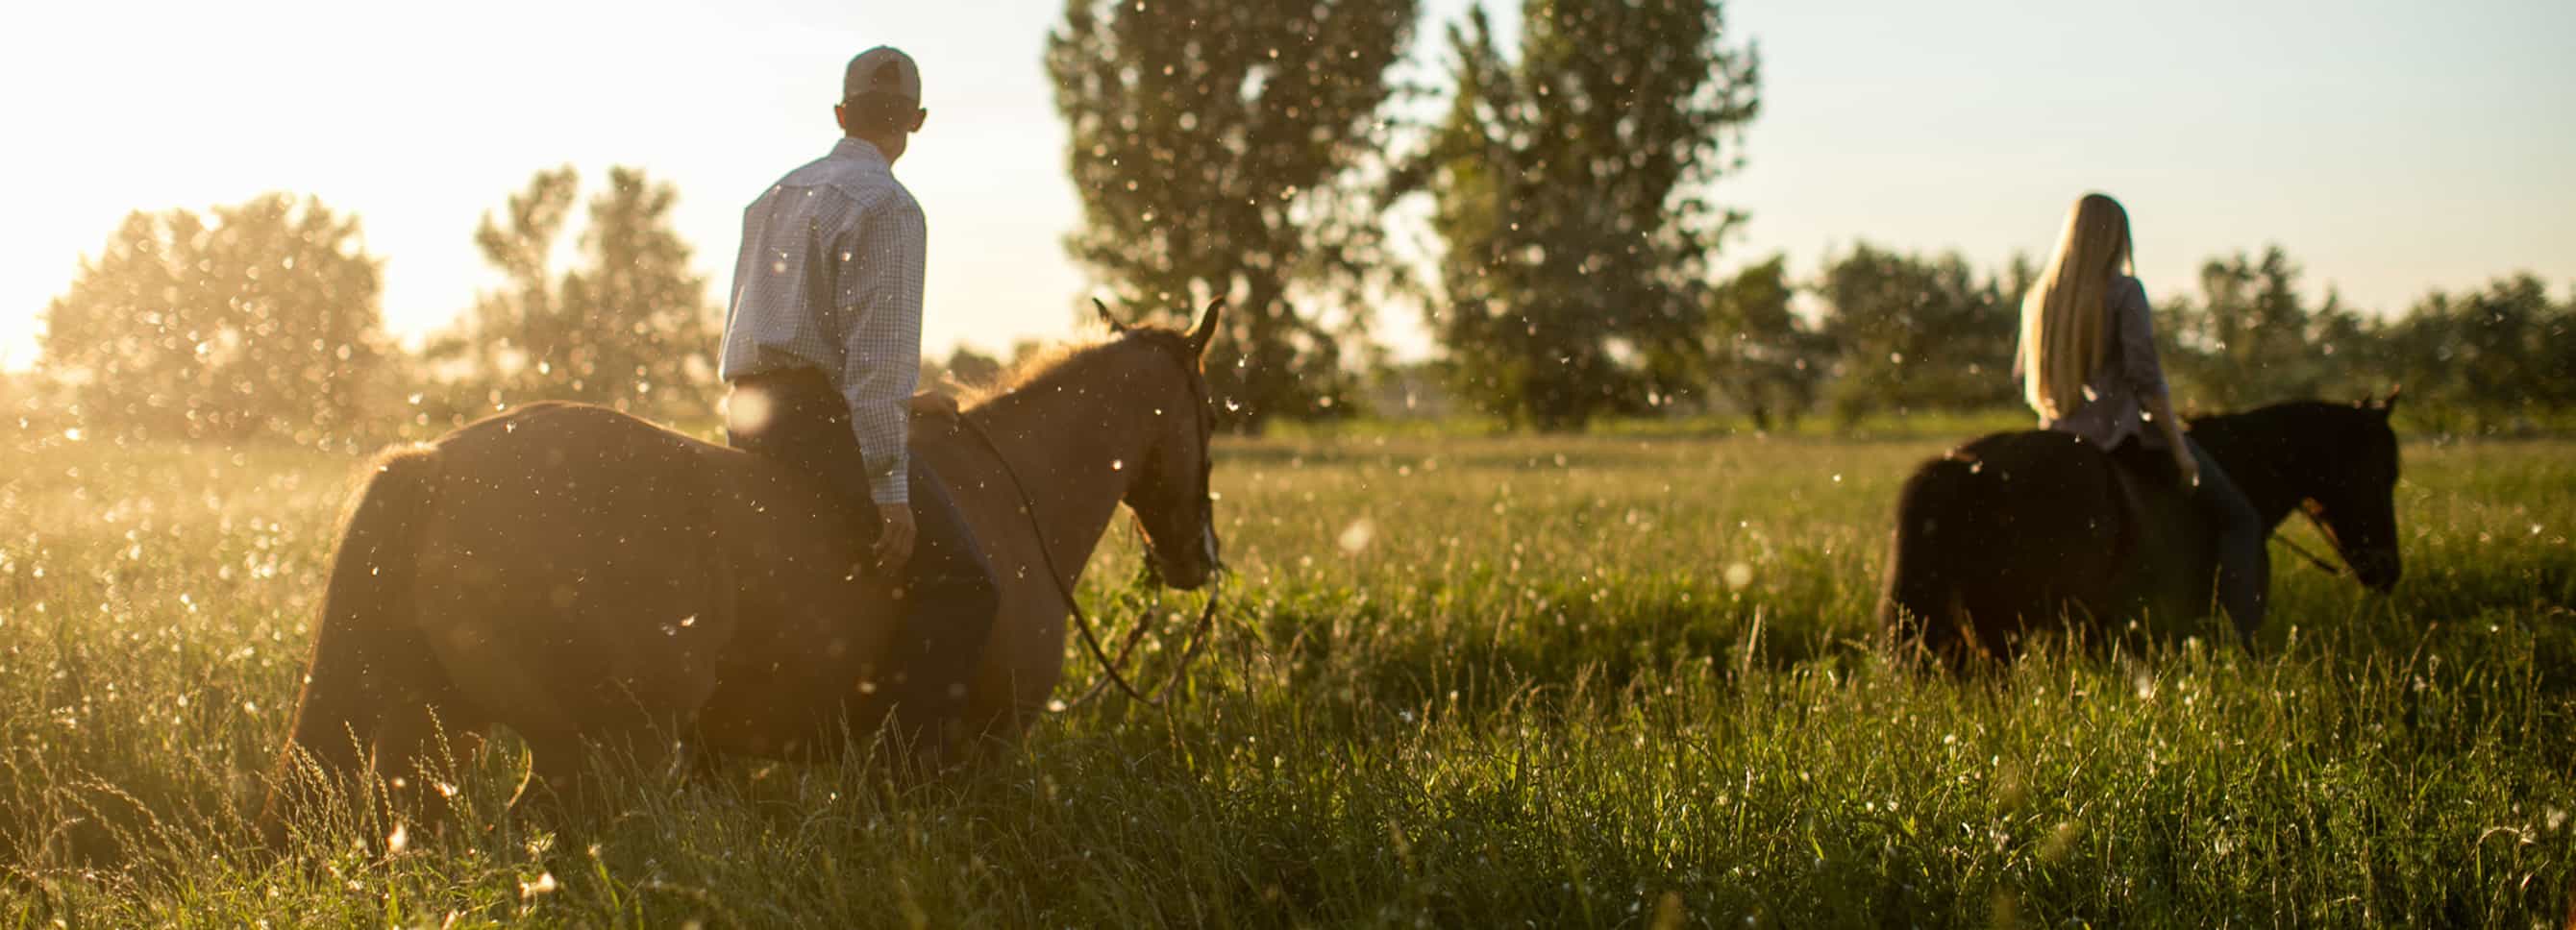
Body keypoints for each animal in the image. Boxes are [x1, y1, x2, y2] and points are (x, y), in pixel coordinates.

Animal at [263, 302, 1225, 835]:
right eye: (1211, 412)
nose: (1197, 559)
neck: (1010, 492)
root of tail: (436, 465)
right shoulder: (985, 750)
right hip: (595, 755)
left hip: (437, 728)